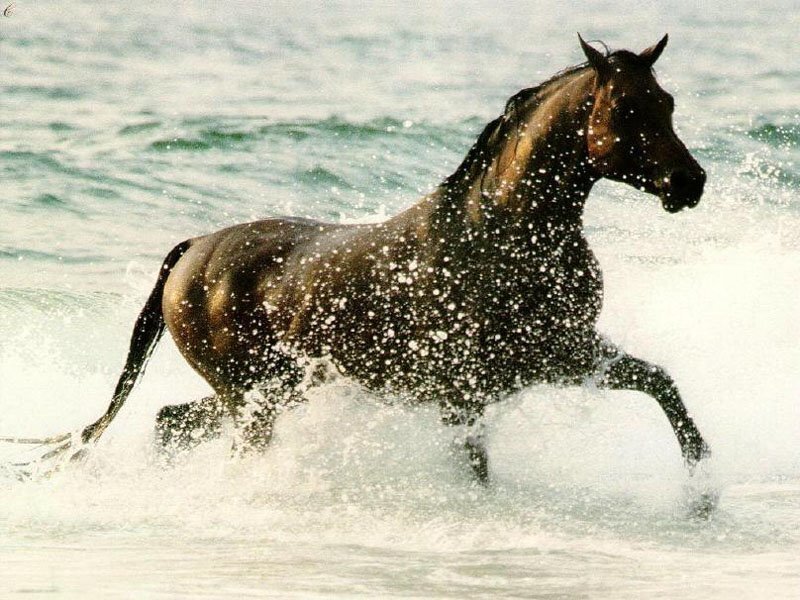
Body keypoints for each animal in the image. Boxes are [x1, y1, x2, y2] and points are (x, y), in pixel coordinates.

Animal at [9, 34, 709, 481]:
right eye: (626, 107)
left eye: (668, 103)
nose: (690, 182)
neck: (500, 234)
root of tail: (191, 252)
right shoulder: (469, 390)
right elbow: (477, 466)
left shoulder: (563, 355)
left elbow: (662, 384)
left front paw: (702, 486)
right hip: (253, 397)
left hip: (267, 391)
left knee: (170, 422)